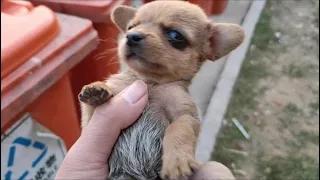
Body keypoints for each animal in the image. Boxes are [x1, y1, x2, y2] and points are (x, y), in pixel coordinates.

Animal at [79, 0, 244, 179]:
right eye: (130, 27)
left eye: (175, 35)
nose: (131, 36)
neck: (151, 83)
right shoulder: (90, 120)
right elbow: (92, 107)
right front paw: (96, 89)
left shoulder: (186, 114)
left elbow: (179, 127)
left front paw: (177, 160)